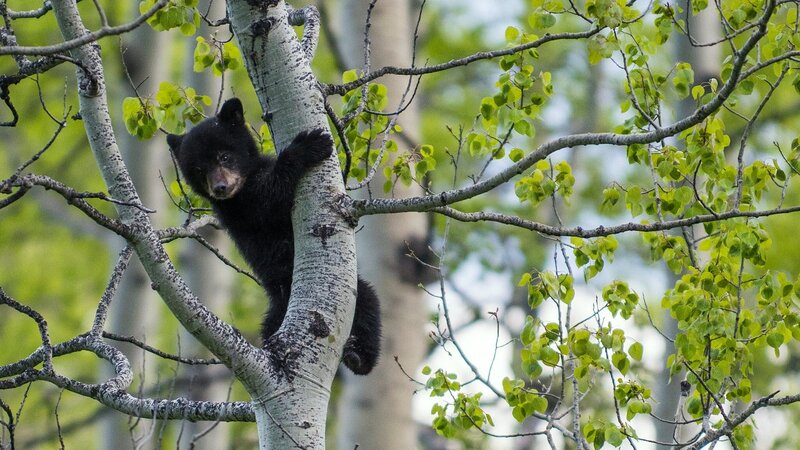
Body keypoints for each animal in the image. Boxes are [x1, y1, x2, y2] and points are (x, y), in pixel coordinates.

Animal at [166, 98, 381, 375]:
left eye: (225, 156)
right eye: (200, 169)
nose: (220, 188)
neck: (246, 180)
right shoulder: (241, 209)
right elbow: (270, 199)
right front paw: (308, 144)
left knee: (369, 311)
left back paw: (358, 357)